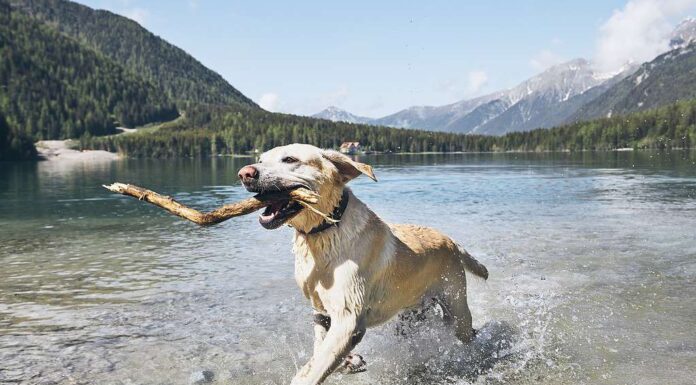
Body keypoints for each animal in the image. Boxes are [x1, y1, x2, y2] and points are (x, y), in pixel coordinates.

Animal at [239, 143, 490, 384]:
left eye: (290, 159)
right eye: (260, 159)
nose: (245, 173)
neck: (324, 232)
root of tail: (452, 242)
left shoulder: (348, 318)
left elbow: (314, 369)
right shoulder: (320, 311)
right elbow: (320, 348)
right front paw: (349, 362)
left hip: (457, 308)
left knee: (470, 332)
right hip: (410, 317)